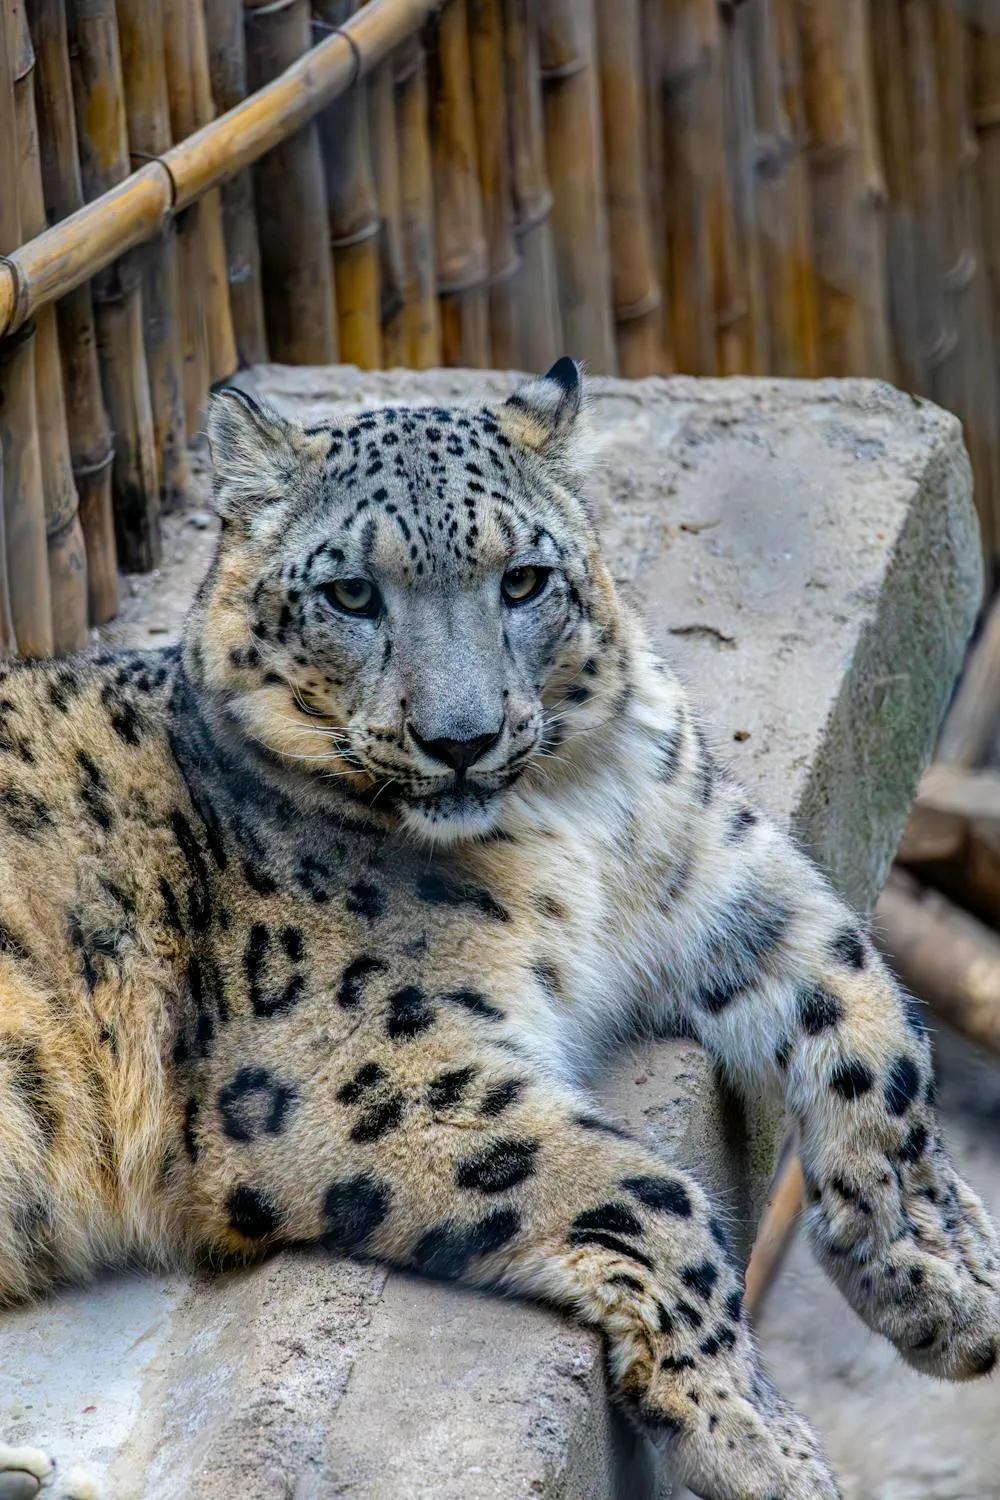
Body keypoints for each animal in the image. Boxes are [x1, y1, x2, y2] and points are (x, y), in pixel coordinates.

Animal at [0, 359, 997, 1500]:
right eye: (352, 594)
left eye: (522, 580)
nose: (462, 740)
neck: (573, 822)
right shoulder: (362, 1069)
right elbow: (649, 1190)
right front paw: (756, 1438)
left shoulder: (724, 878)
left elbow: (878, 1024)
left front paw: (941, 1277)